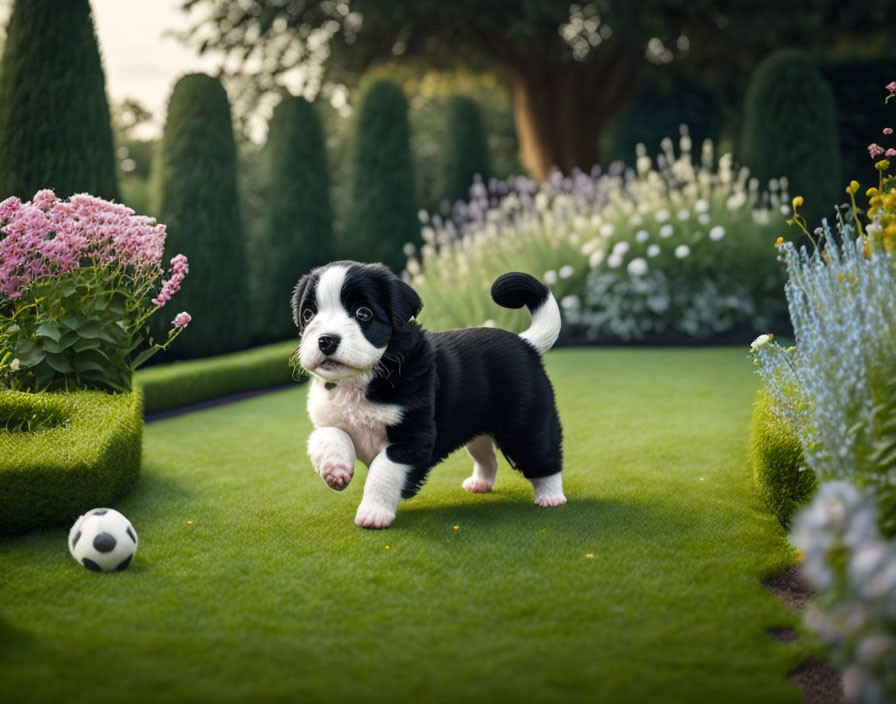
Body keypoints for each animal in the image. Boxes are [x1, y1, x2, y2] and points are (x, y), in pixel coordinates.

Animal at [290, 262, 564, 528]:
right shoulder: (331, 419)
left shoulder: (413, 438)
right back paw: (480, 483)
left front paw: (373, 513)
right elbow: (327, 436)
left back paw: (550, 497)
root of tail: (525, 342)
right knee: (488, 457)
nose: (326, 340)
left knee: (542, 455)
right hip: (477, 430)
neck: (360, 381)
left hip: (525, 422)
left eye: (363, 313)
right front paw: (335, 470)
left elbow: (383, 471)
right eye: (308, 314)